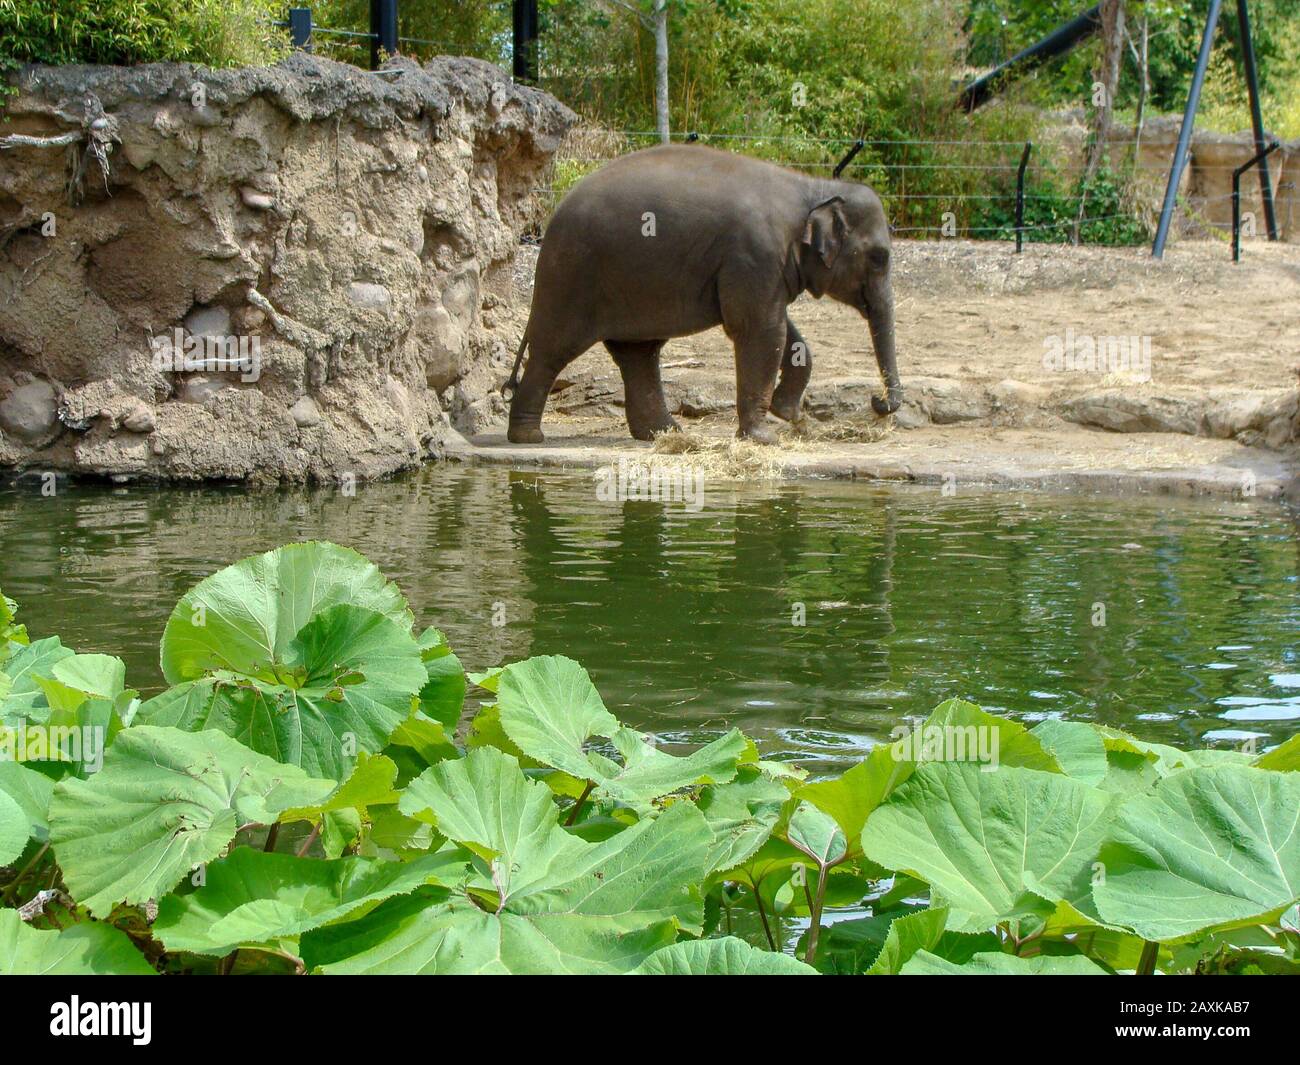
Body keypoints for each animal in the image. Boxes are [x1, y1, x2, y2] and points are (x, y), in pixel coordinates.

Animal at [501, 143, 899, 444]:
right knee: (554, 349)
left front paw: (787, 414)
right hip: (571, 275)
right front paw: (764, 438)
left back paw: (664, 434)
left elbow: (779, 329)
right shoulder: (755, 254)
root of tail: (551, 217)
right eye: (880, 257)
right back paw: (529, 437)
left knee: (639, 354)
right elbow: (761, 330)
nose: (878, 403)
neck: (813, 188)